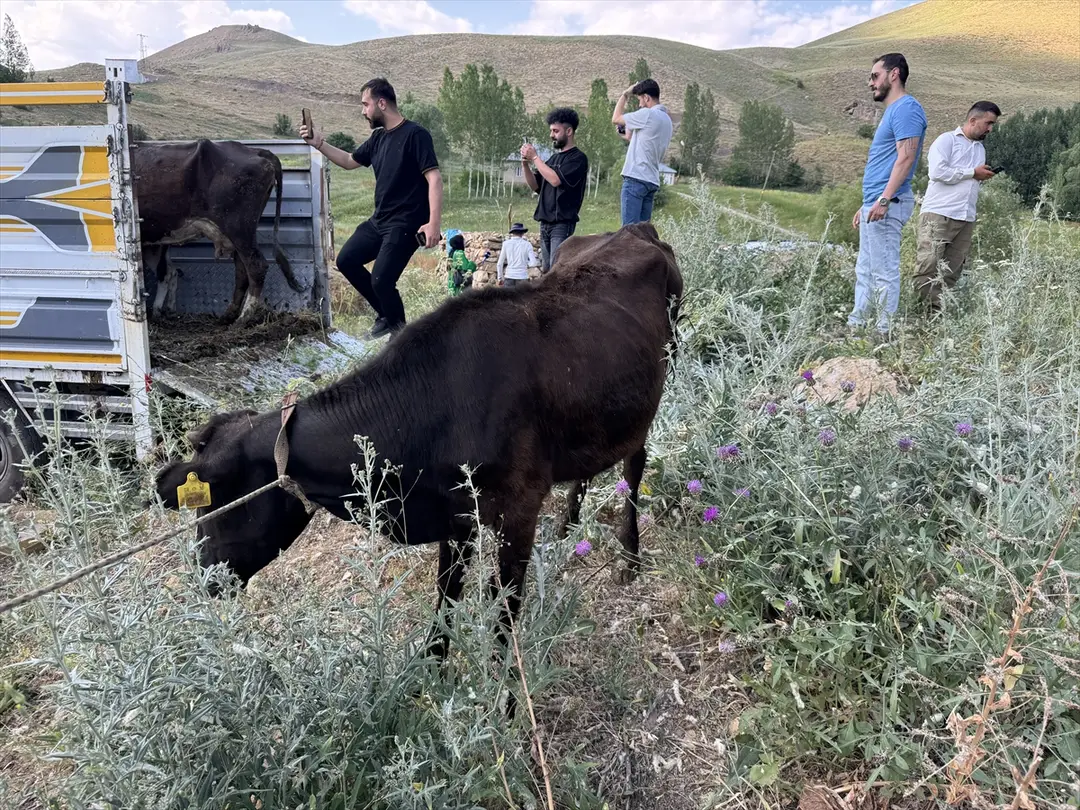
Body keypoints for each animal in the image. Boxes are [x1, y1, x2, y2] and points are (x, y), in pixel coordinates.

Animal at [133, 139, 305, 324]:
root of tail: (255, 150)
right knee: (240, 270)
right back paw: (227, 314)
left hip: (239, 229)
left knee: (256, 267)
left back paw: (244, 317)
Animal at [154, 222, 683, 658]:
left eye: (216, 503)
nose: (205, 578)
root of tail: (635, 229)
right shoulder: (455, 514)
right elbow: (445, 598)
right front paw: (431, 673)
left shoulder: (518, 510)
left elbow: (503, 620)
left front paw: (506, 706)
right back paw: (570, 526)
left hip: (659, 384)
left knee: (634, 466)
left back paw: (630, 558)